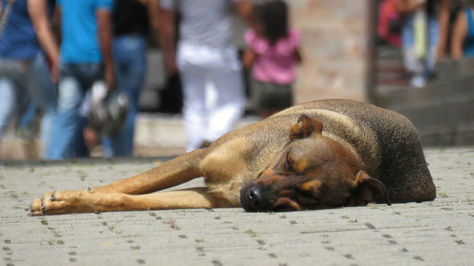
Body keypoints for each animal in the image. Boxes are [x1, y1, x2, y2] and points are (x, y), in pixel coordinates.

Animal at [29, 98, 436, 215]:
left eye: (307, 195)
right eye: (288, 163)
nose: (253, 198)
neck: (252, 170)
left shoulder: (208, 197)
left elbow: (126, 199)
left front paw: (70, 201)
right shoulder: (198, 158)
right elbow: (130, 183)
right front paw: (65, 197)